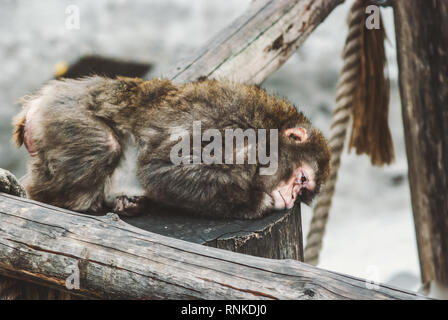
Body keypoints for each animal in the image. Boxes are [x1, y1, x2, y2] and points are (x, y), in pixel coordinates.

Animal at [12, 76, 330, 219]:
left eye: (303, 192)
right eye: (302, 179)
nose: (292, 197)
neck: (265, 127)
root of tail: (36, 103)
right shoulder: (227, 125)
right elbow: (161, 170)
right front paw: (257, 201)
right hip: (62, 115)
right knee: (103, 145)